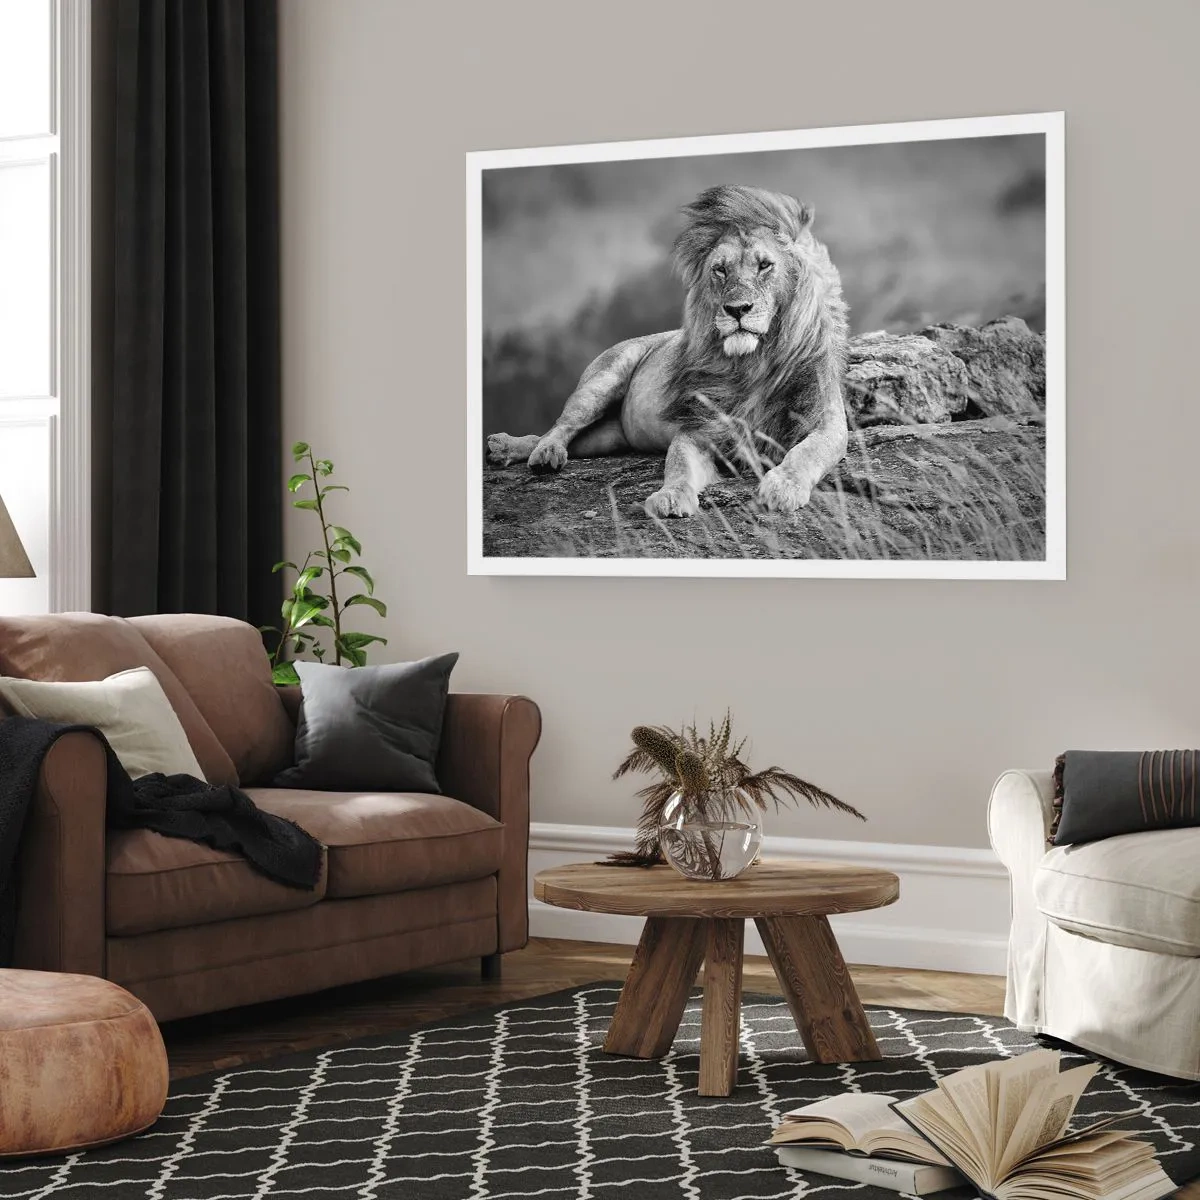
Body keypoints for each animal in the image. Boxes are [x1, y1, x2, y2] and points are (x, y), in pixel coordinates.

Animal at [487, 184, 849, 517]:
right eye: (720, 269)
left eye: (765, 265)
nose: (736, 309)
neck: (753, 363)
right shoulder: (698, 427)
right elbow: (677, 465)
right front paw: (671, 497)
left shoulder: (826, 420)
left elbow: (807, 452)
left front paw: (783, 487)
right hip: (601, 381)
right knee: (559, 427)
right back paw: (536, 452)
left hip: (605, 438)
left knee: (567, 440)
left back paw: (507, 449)